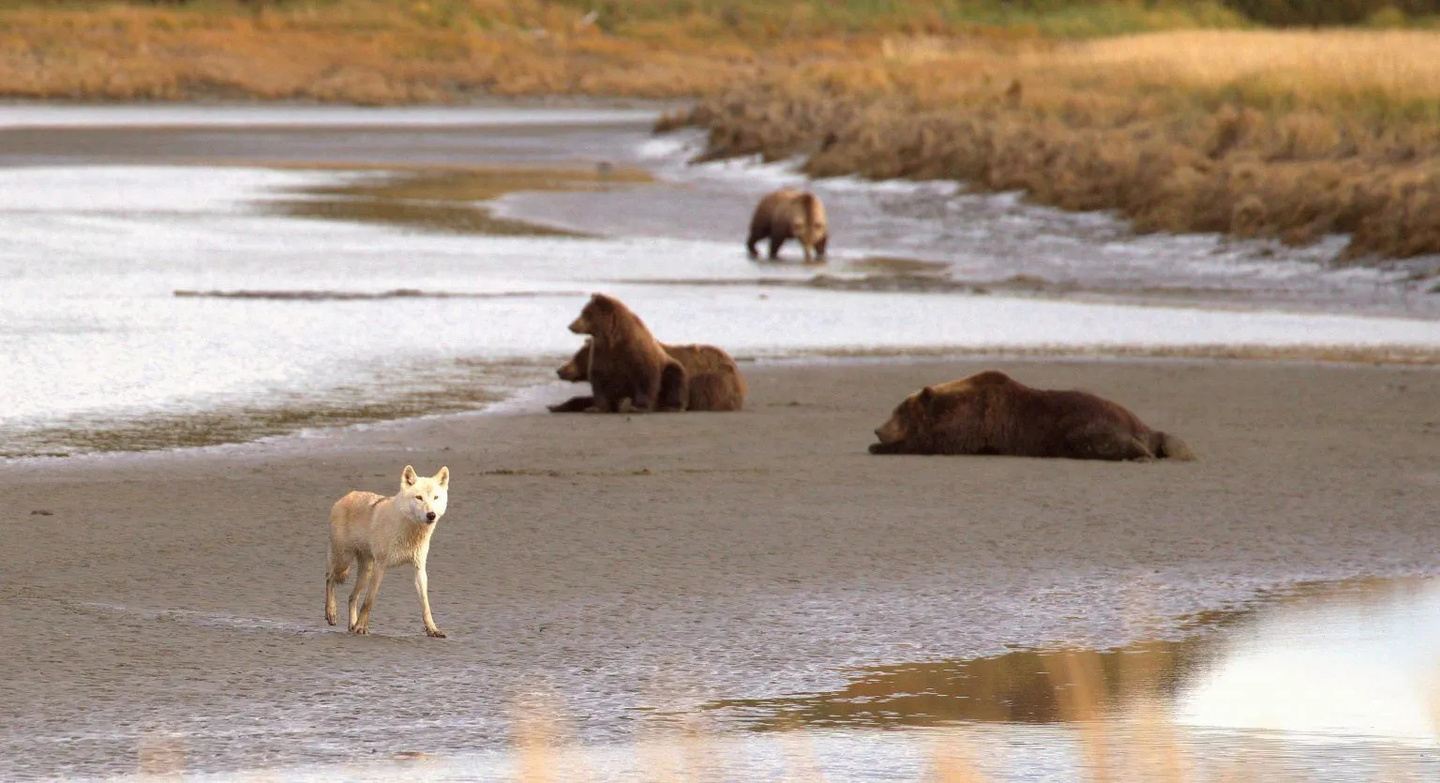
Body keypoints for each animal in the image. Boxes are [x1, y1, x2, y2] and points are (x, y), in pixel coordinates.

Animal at [868, 371, 1195, 461]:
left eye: (898, 411)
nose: (877, 429)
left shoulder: (974, 423)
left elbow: (934, 443)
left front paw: (880, 447)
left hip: (1079, 427)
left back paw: (1141, 454)